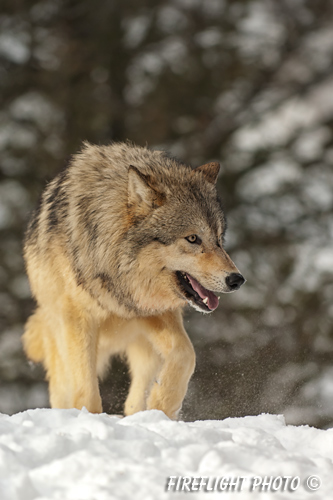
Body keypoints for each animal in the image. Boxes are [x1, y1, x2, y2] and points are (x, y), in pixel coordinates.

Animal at [22, 143, 243, 420]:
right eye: (193, 238)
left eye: (219, 240)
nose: (237, 279)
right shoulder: (78, 319)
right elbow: (86, 390)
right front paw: (90, 419)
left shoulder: (152, 309)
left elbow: (186, 354)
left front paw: (162, 405)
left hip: (143, 347)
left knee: (135, 396)